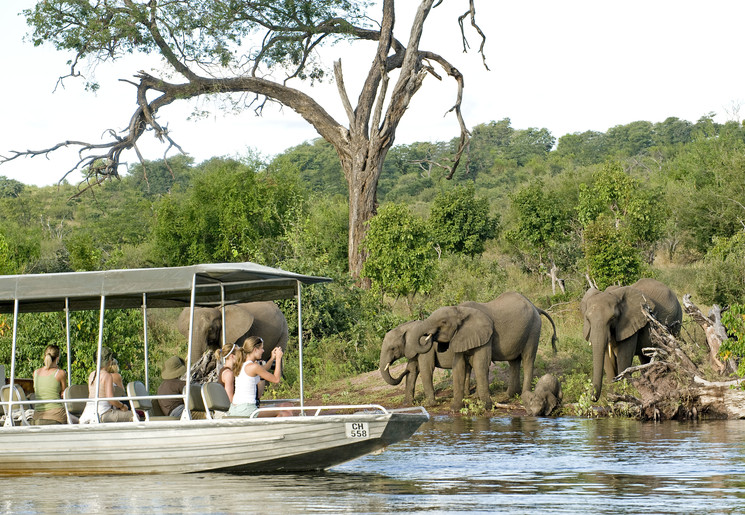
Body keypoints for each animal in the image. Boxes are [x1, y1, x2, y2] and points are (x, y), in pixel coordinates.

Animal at [404, 292, 556, 414]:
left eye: (443, 322)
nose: (429, 337)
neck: (460, 310)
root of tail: (535, 306)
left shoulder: (486, 336)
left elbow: (480, 364)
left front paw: (486, 407)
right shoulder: (461, 336)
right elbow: (458, 367)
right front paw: (455, 410)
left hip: (534, 329)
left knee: (528, 358)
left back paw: (524, 396)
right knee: (514, 361)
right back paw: (509, 396)